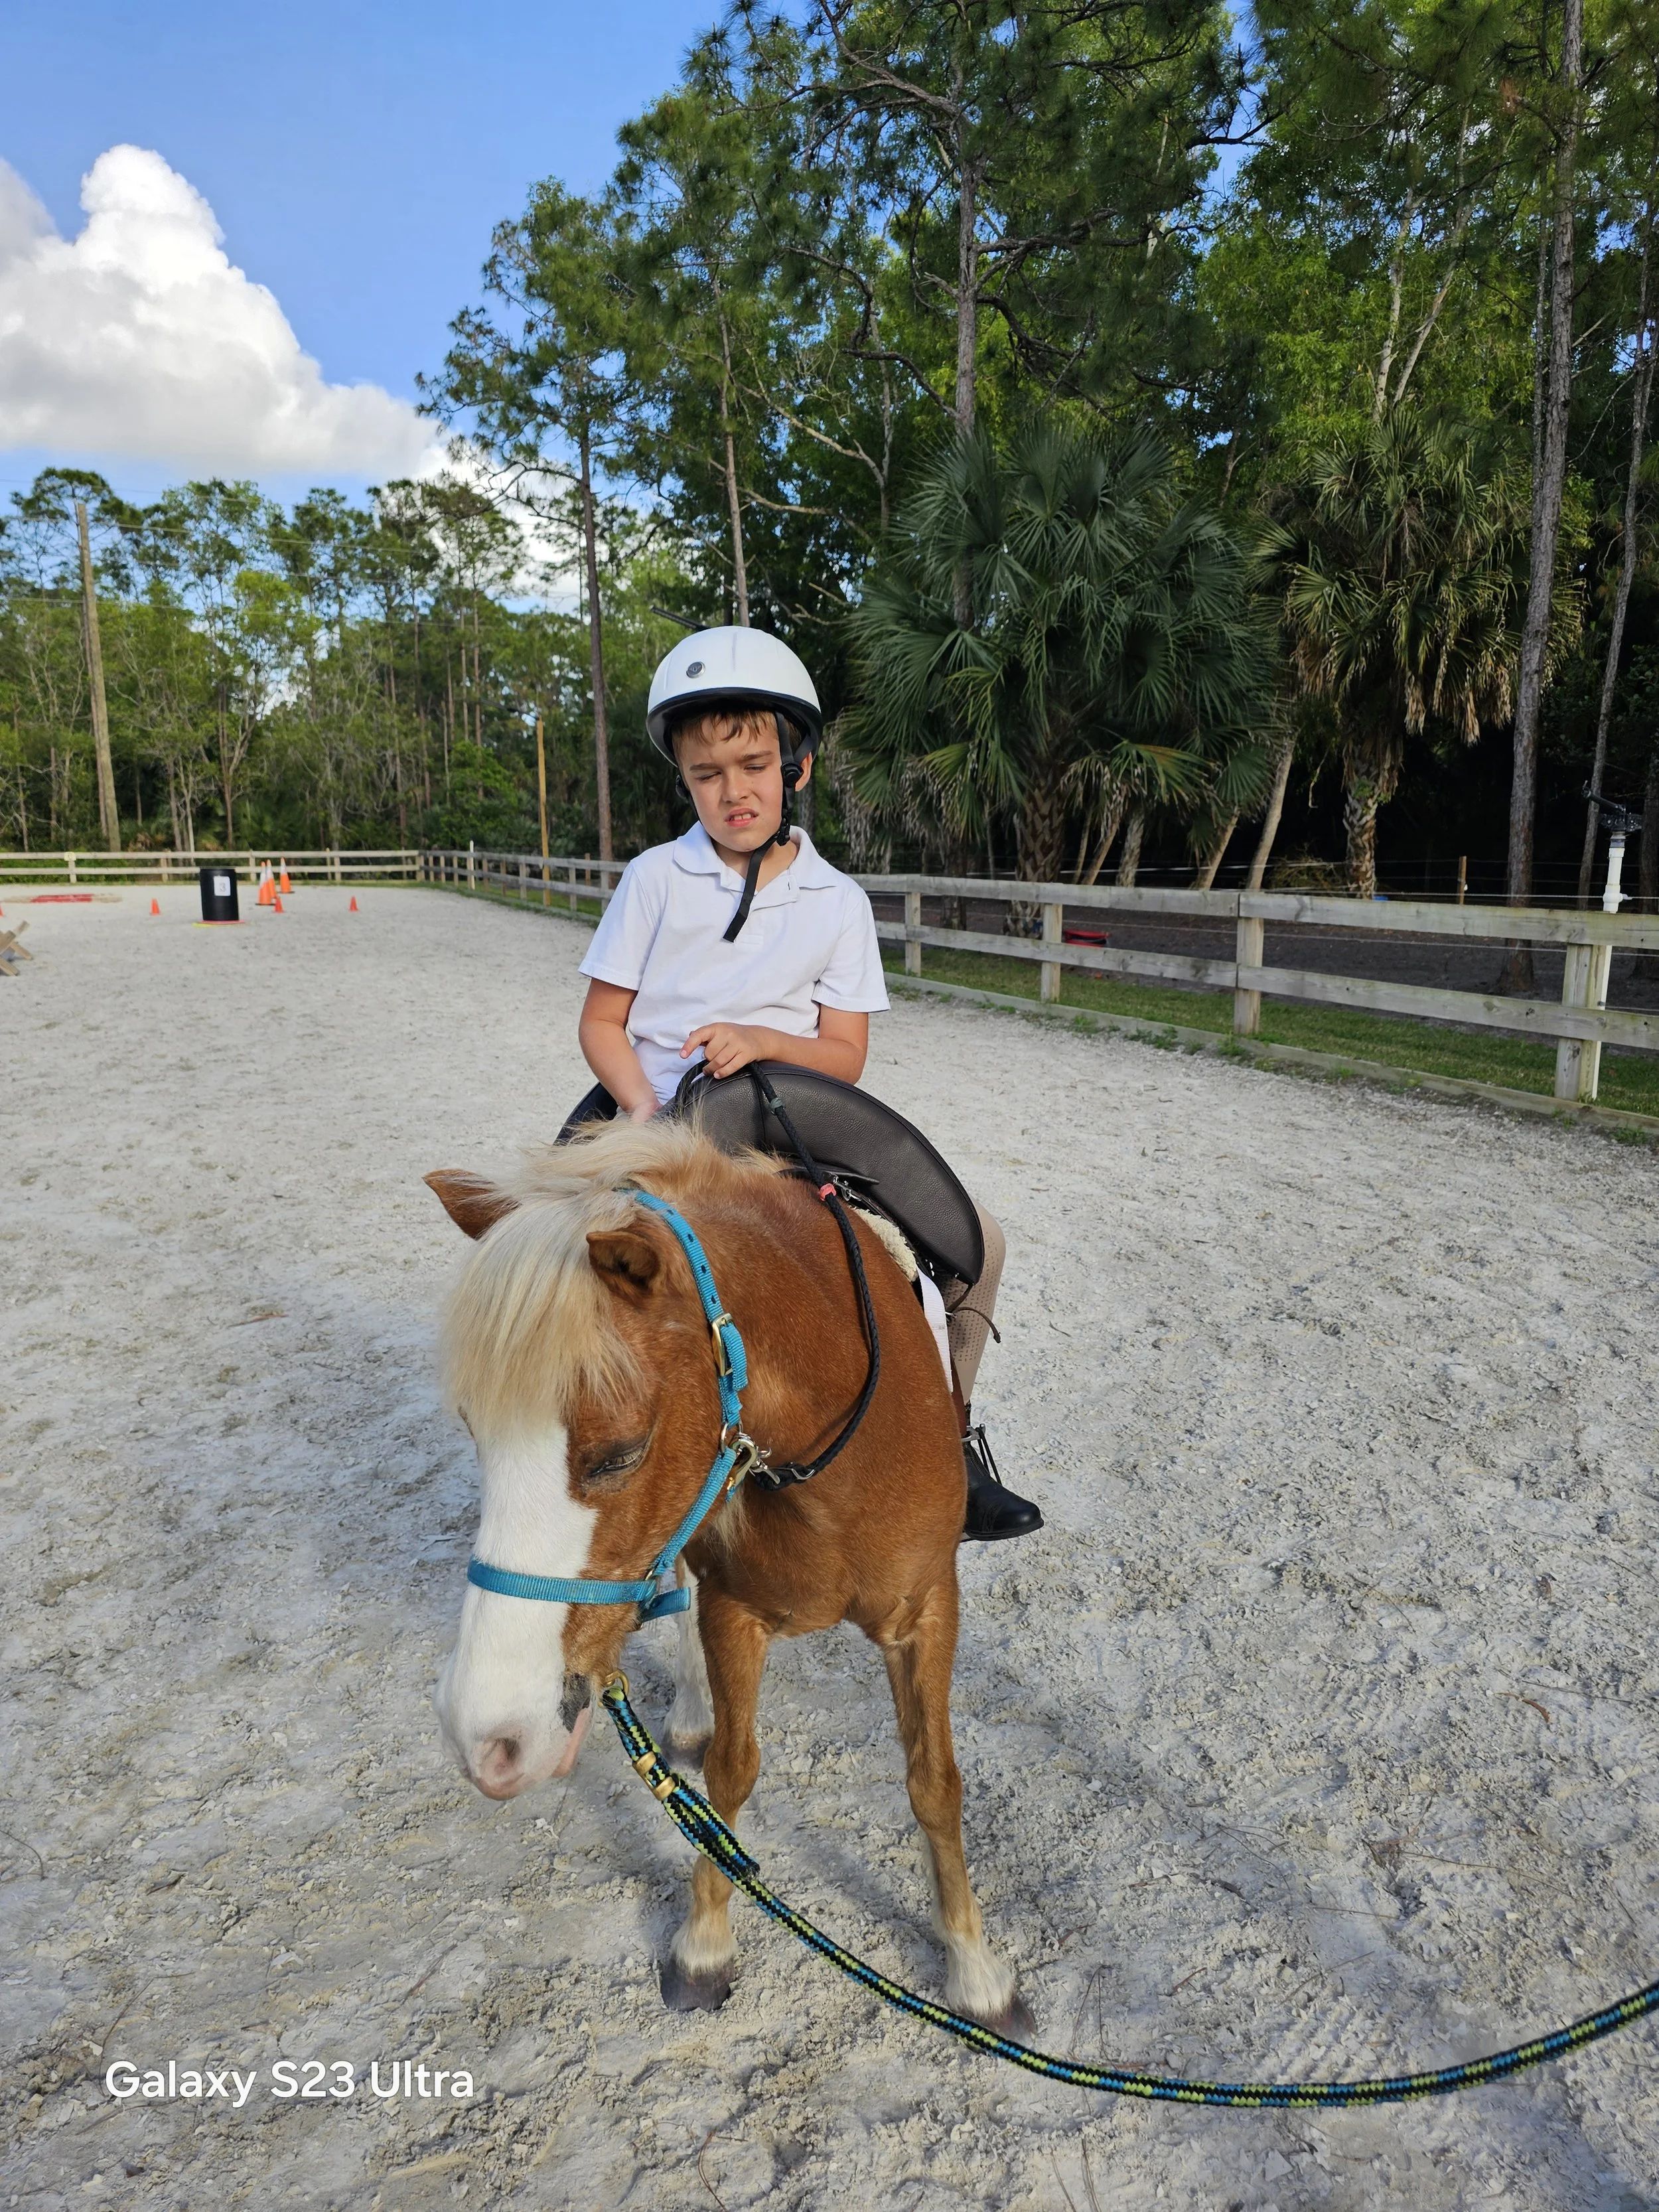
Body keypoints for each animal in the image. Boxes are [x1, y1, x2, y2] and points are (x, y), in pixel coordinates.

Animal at [424, 1115, 1028, 2031]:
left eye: (619, 1453)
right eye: (473, 1430)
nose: (485, 1740)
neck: (829, 1458)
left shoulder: (926, 1610)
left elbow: (935, 1783)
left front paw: (974, 1968)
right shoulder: (734, 1611)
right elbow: (730, 1774)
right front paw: (704, 1942)